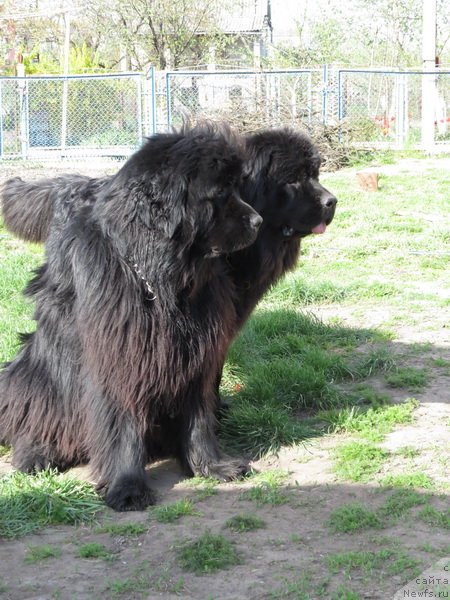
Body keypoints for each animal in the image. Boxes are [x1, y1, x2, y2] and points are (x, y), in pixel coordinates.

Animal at [0, 124, 262, 508]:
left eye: (237, 188)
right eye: (219, 193)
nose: (258, 220)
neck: (161, 280)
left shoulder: (196, 354)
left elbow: (199, 415)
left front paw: (212, 466)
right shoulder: (120, 357)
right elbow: (121, 424)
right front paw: (127, 486)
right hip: (33, 374)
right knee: (34, 414)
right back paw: (36, 453)